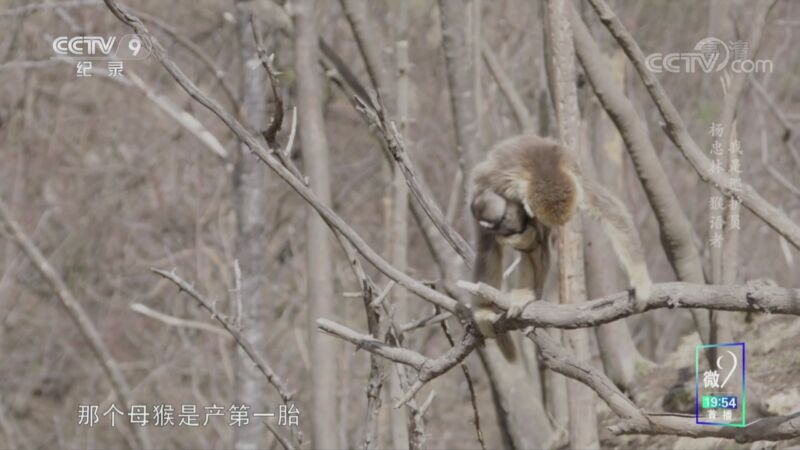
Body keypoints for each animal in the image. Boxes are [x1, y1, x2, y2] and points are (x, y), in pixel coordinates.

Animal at [468, 134, 653, 361]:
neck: (542, 170)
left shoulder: (576, 182)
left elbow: (612, 212)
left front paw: (641, 281)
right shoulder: (496, 181)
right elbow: (488, 239)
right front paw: (483, 311)